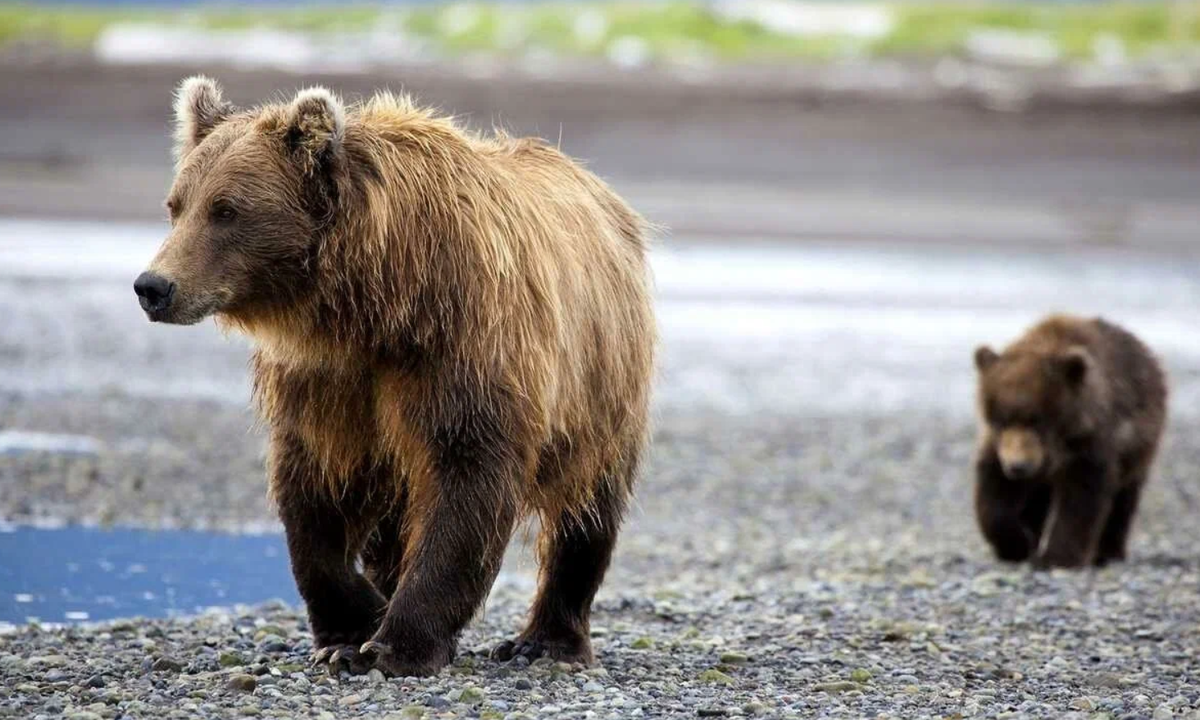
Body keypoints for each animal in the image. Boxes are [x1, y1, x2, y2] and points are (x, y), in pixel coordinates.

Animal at [138, 77, 657, 676]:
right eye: (176, 205)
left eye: (226, 209)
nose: (154, 286)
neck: (375, 304)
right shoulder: (328, 380)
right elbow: (314, 489)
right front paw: (351, 629)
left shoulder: (464, 345)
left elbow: (466, 479)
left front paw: (398, 643)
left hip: (602, 382)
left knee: (588, 508)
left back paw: (545, 640)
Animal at [974, 314, 1161, 568]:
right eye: (1000, 420)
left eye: (1038, 420)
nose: (1018, 466)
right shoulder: (999, 446)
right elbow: (995, 494)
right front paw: (1017, 544)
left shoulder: (1089, 443)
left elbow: (1081, 498)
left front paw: (1056, 557)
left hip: (1138, 446)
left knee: (1124, 498)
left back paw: (1108, 553)